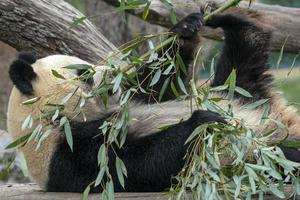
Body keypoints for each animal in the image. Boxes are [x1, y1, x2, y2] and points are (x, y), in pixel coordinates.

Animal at [5, 8, 300, 193]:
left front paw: (186, 28)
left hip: (238, 92)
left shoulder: (129, 100)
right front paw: (203, 123)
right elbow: (139, 163)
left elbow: (157, 87)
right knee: (278, 156)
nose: (114, 74)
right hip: (256, 153)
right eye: (84, 73)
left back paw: (236, 22)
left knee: (241, 64)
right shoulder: (70, 154)